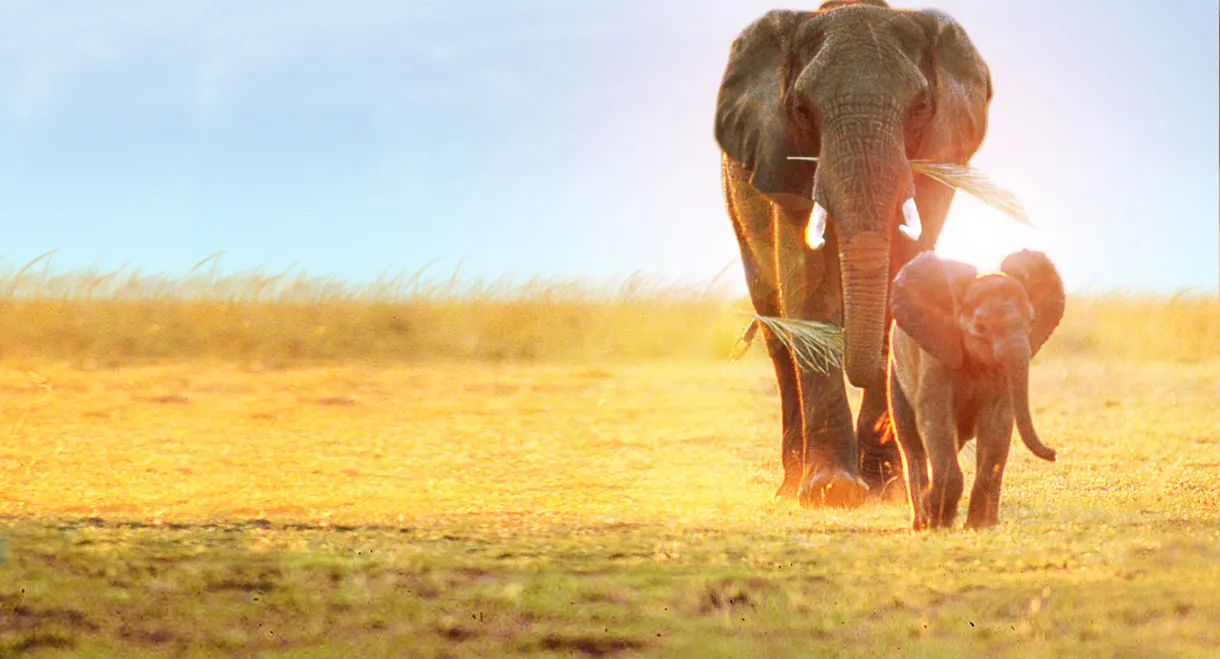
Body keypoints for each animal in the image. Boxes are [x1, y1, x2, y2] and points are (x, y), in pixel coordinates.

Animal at [714, 0, 993, 506]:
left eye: (920, 107)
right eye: (801, 110)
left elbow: (906, 279)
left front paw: (891, 490)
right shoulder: (785, 161)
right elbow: (808, 289)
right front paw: (833, 491)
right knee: (776, 333)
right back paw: (791, 484)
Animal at [886, 249, 1065, 530]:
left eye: (1031, 321)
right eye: (980, 327)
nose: (1054, 454)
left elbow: (998, 421)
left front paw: (980, 526)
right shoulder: (934, 355)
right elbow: (934, 416)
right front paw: (940, 523)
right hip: (895, 373)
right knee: (911, 443)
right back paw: (921, 522)